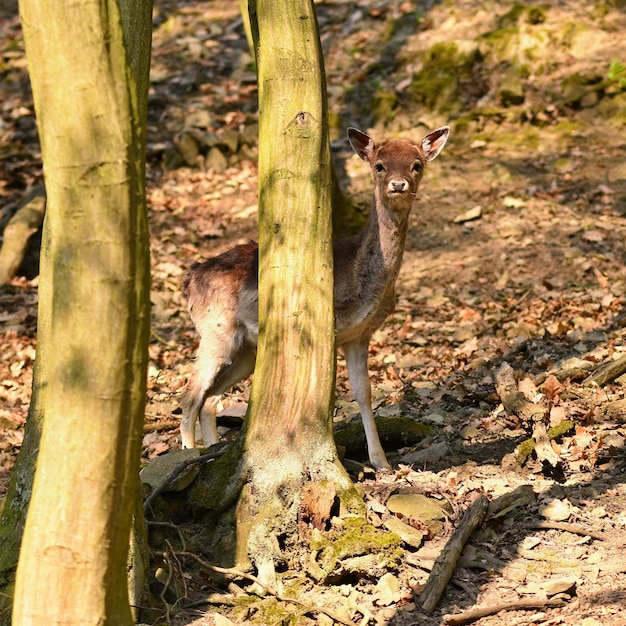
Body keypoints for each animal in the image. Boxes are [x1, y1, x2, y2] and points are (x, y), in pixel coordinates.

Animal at [180, 125, 448, 468]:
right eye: (379, 165)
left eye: (417, 165)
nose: (398, 184)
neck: (365, 282)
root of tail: (190, 278)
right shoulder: (328, 325)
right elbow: (326, 393)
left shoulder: (360, 334)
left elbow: (364, 393)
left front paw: (381, 462)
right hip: (215, 331)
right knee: (189, 397)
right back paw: (187, 454)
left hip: (247, 351)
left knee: (210, 399)